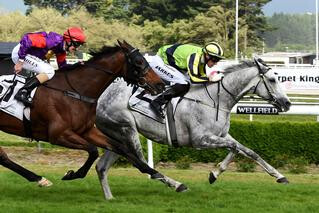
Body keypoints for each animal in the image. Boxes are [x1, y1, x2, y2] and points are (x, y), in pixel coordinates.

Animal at [0, 40, 165, 186]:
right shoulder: (59, 134)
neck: (76, 91)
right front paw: (73, 174)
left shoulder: (87, 130)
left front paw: (154, 172)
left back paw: (38, 178)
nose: (160, 84)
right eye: (139, 61)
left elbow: (120, 147)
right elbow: (93, 151)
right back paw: (38, 178)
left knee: (3, 157)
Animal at [94, 57, 292, 199]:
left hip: (118, 136)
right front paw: (214, 174)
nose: (287, 103)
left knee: (102, 167)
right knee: (142, 163)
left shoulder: (222, 135)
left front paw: (280, 176)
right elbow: (235, 148)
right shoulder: (200, 140)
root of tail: (98, 98)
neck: (216, 99)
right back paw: (177, 185)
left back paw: (110, 198)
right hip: (127, 130)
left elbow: (249, 151)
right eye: (273, 80)